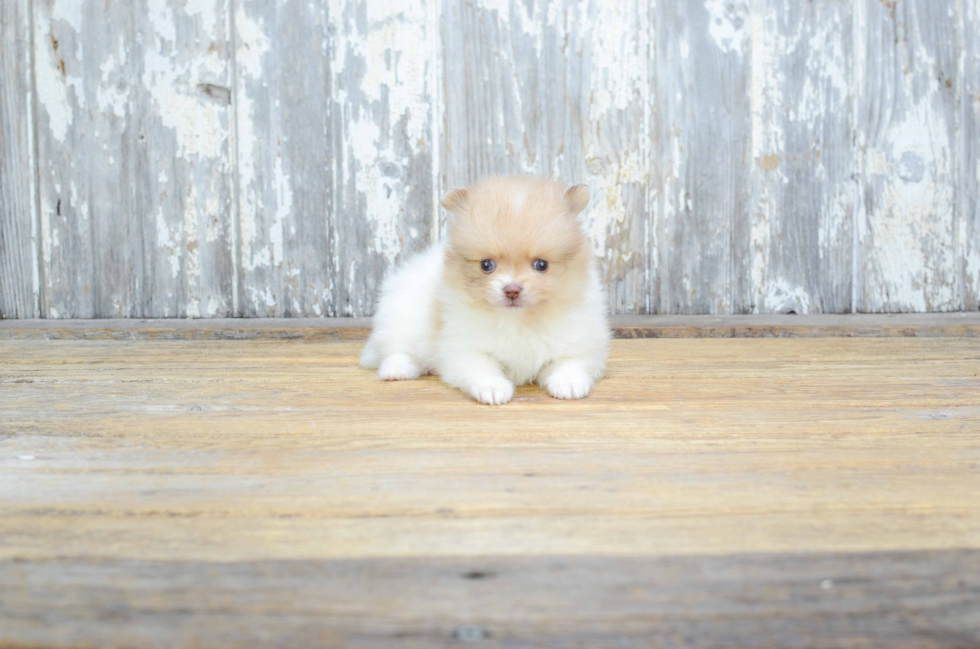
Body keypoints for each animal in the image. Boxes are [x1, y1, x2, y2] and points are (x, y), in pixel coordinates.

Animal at [356, 175, 608, 402]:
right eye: (486, 265)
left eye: (541, 265)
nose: (512, 290)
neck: (518, 320)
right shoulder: (465, 348)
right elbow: (482, 369)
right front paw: (493, 388)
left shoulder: (579, 343)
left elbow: (571, 363)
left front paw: (569, 384)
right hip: (404, 318)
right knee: (397, 349)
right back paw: (398, 370)